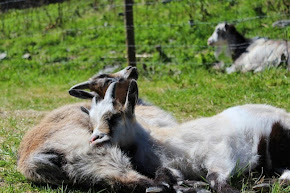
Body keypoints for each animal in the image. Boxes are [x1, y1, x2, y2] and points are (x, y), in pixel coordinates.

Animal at [86, 80, 290, 193]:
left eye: (114, 117)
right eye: (92, 122)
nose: (94, 139)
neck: (152, 140)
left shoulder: (219, 153)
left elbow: (214, 177)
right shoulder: (171, 165)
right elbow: (165, 175)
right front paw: (178, 185)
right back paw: (265, 184)